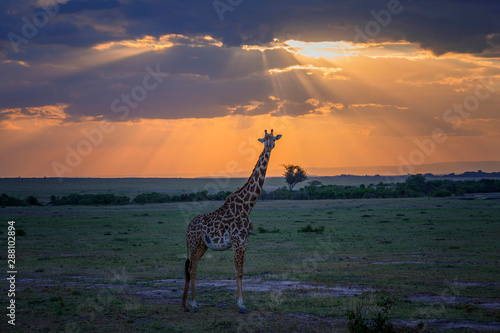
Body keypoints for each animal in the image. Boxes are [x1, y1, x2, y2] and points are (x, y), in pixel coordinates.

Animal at [181, 128, 284, 312]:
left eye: (274, 139)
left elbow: (242, 271)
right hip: (194, 244)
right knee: (192, 269)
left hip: (202, 246)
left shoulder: (244, 241)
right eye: (264, 139)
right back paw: (193, 304)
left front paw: (242, 303)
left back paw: (185, 304)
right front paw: (241, 305)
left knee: (192, 268)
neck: (247, 205)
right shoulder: (237, 241)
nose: (269, 146)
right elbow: (238, 271)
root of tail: (187, 228)